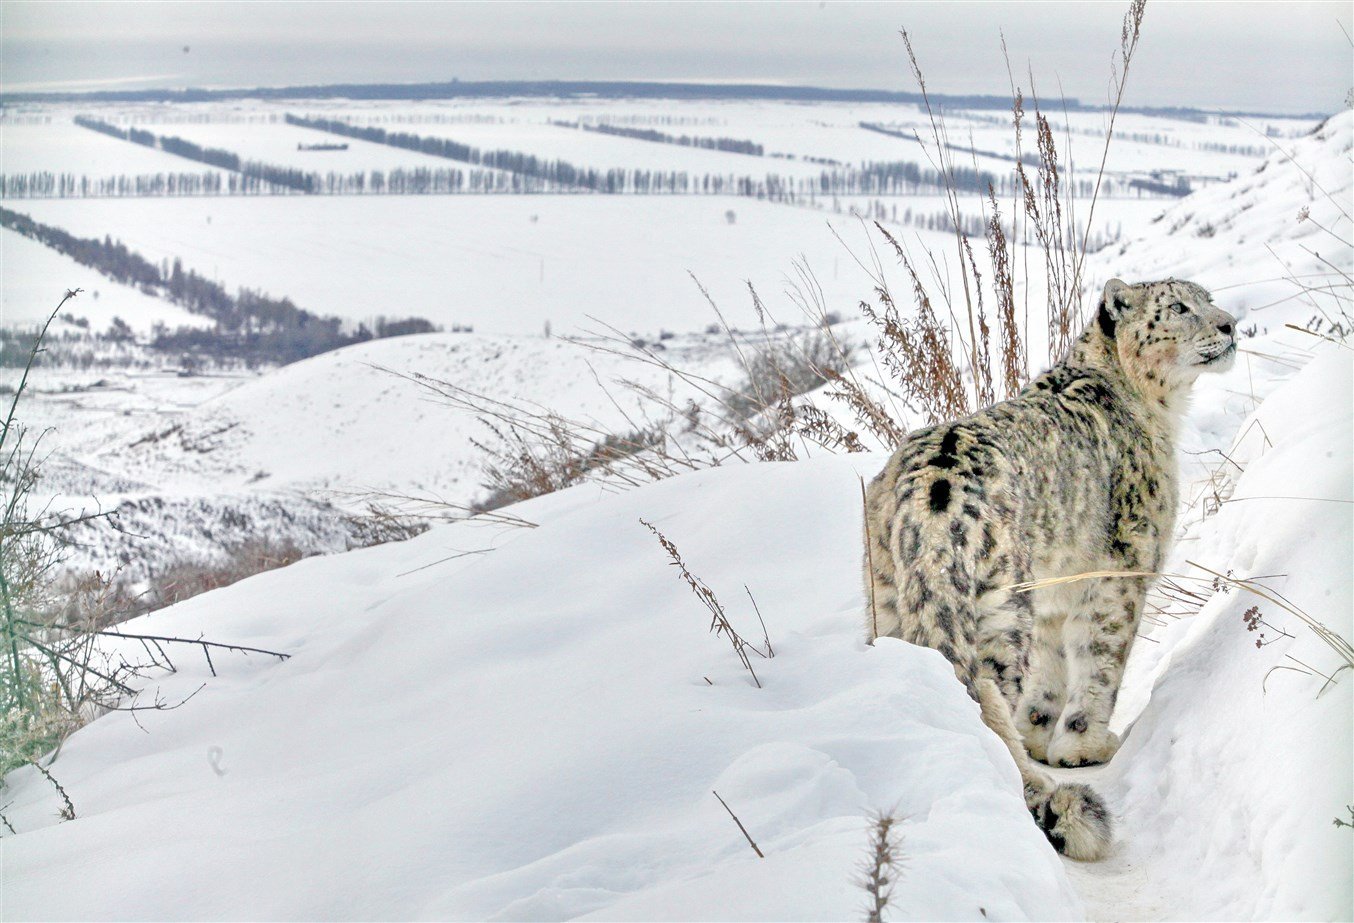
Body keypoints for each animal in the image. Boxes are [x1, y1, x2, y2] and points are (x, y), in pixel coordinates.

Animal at [866, 274, 1240, 855]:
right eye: (1178, 306)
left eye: (1208, 298)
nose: (1229, 325)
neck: (1156, 408)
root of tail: (927, 489)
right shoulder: (1122, 570)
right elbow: (1101, 659)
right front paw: (1086, 745)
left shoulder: (1056, 593)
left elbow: (1050, 673)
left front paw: (1042, 735)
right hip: (1000, 605)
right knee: (984, 691)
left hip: (888, 595)